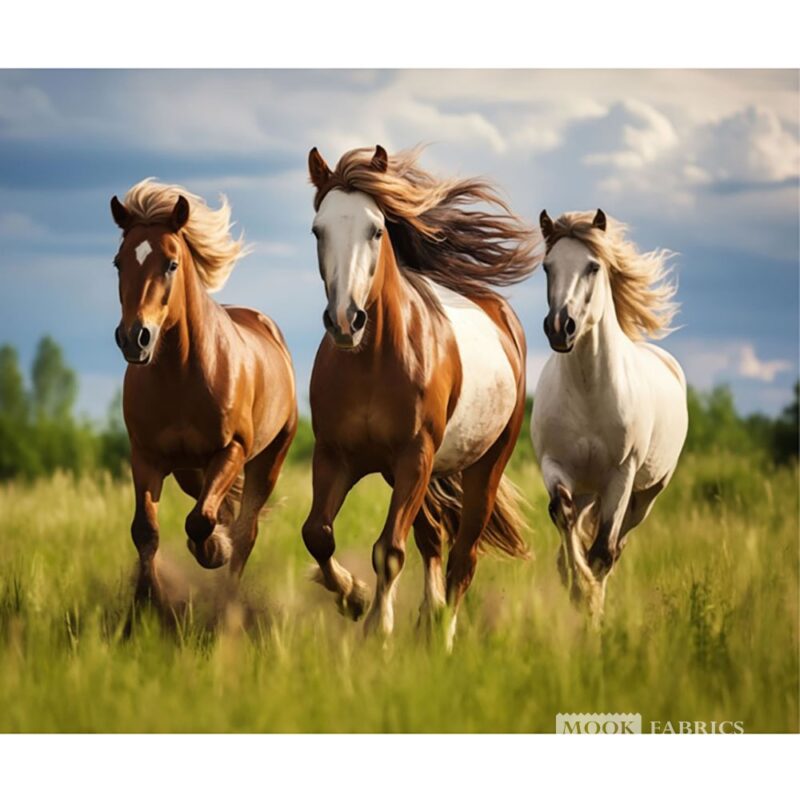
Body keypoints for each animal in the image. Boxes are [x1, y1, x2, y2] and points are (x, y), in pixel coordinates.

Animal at [109, 179, 297, 617]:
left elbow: (201, 523)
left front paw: (213, 550)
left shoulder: (231, 450)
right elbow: (145, 530)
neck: (181, 377)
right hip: (189, 471)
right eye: (118, 262)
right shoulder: (146, 456)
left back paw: (227, 598)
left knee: (246, 529)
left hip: (267, 460)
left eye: (171, 263)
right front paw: (146, 607)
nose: (134, 338)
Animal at [301, 145, 539, 648]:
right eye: (318, 229)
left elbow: (389, 549)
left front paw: (378, 627)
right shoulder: (336, 455)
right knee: (432, 540)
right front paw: (353, 598)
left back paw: (444, 638)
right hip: (417, 475)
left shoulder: (415, 455)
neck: (372, 361)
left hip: (483, 467)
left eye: (376, 229)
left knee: (462, 557)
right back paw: (428, 620)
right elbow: (318, 534)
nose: (345, 321)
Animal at [531, 208, 688, 623]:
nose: (560, 327)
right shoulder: (554, 466)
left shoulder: (621, 475)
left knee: (616, 546)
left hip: (644, 495)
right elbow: (563, 517)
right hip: (588, 489)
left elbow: (602, 552)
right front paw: (578, 586)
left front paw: (591, 607)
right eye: (547, 267)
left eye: (593, 266)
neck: (589, 391)